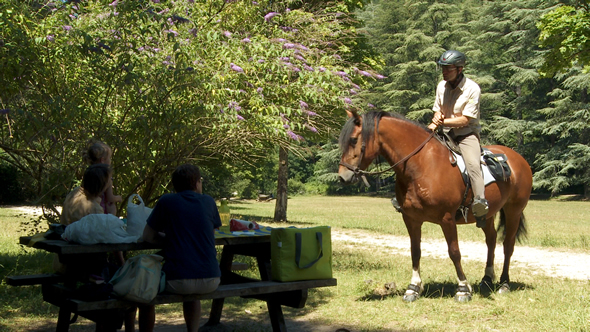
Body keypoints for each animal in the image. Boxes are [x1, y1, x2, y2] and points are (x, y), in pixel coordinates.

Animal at [340, 110, 536, 302]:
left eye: (354, 140)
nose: (343, 176)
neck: (422, 164)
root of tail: (518, 159)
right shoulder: (411, 219)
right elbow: (415, 251)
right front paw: (413, 288)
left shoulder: (447, 218)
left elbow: (454, 252)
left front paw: (463, 289)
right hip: (487, 215)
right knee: (491, 240)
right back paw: (487, 279)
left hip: (513, 211)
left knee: (508, 245)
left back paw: (504, 283)